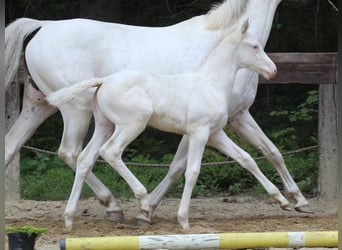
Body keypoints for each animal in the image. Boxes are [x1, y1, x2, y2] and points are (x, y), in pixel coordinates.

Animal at [48, 19, 286, 229]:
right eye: (254, 46)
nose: (273, 70)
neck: (210, 83)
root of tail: (104, 81)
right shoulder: (199, 132)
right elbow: (192, 172)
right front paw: (183, 220)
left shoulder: (216, 134)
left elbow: (247, 159)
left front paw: (282, 200)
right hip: (132, 124)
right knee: (110, 152)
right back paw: (143, 201)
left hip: (104, 126)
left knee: (85, 159)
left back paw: (70, 219)